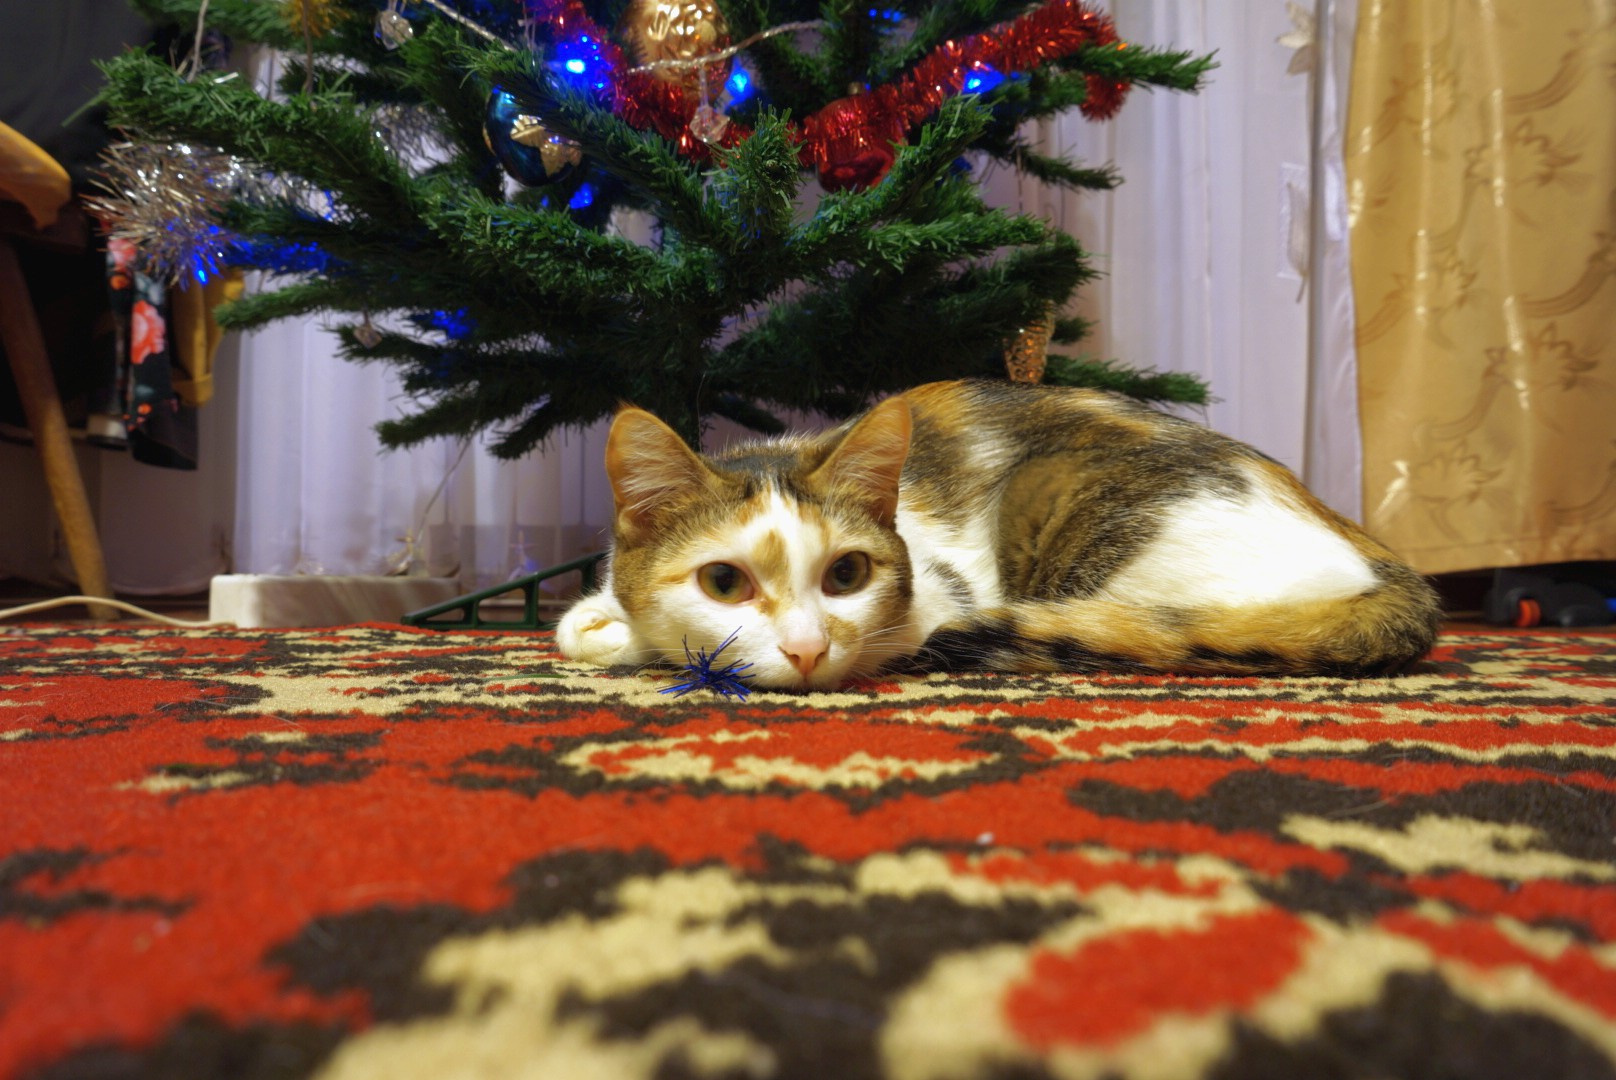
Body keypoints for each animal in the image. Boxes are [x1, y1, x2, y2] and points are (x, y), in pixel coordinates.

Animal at [556, 379, 1442, 690]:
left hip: (1063, 496)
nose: (807, 651)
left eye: (846, 576)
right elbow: (580, 627)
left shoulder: (936, 599)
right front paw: (609, 628)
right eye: (724, 582)